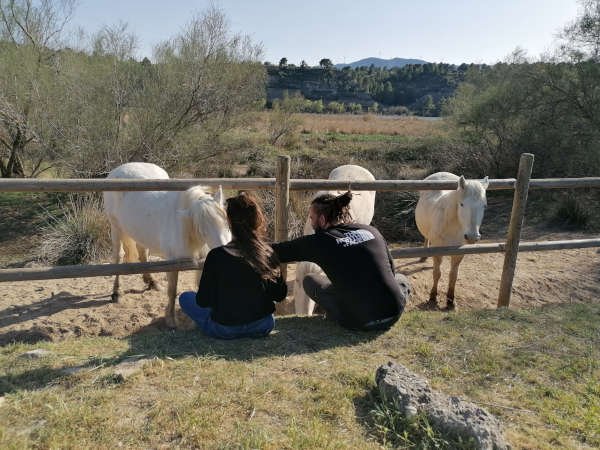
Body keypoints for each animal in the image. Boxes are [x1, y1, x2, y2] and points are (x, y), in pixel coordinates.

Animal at [104, 162, 231, 326]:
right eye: (202, 230)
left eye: (226, 223)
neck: (183, 226)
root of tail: (120, 168)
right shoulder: (172, 263)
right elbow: (172, 290)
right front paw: (170, 319)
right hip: (116, 227)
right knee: (118, 257)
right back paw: (116, 292)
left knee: (142, 252)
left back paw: (151, 282)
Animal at [418, 172, 488, 310]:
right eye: (461, 204)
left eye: (484, 206)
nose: (472, 237)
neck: (453, 226)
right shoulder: (437, 251)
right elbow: (437, 273)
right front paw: (433, 297)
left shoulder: (458, 253)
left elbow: (453, 276)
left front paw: (450, 300)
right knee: (426, 238)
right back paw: (424, 256)